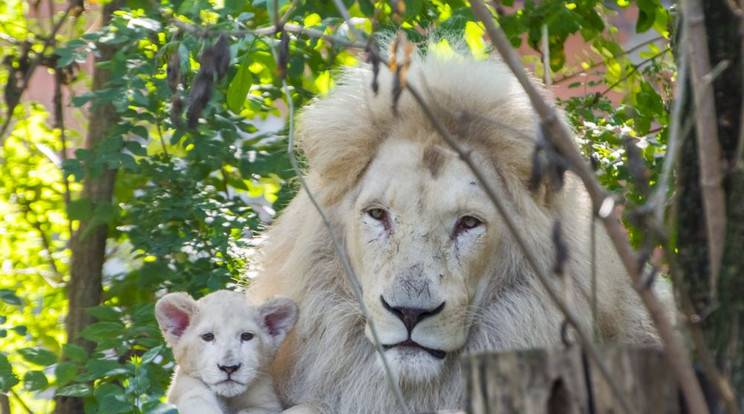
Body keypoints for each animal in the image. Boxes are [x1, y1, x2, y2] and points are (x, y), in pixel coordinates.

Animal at [155, 290, 298, 412]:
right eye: (208, 336)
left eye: (246, 336)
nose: (229, 368)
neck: (228, 399)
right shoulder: (183, 385)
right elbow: (195, 397)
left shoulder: (267, 403)